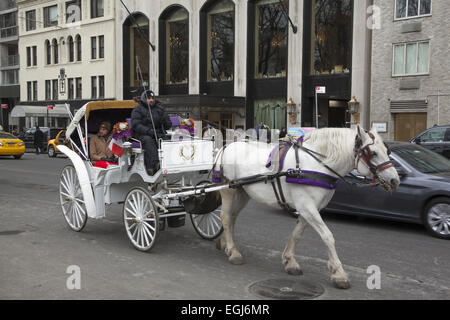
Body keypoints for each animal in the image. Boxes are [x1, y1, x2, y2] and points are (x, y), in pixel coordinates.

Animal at [215, 124, 400, 288]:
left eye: (387, 151)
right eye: (373, 153)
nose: (395, 180)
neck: (316, 165)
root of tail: (228, 145)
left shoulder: (309, 209)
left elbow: (297, 235)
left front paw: (290, 261)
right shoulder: (307, 207)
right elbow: (328, 236)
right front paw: (339, 273)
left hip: (243, 192)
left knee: (231, 218)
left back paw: (225, 244)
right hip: (229, 190)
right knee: (225, 217)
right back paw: (233, 252)